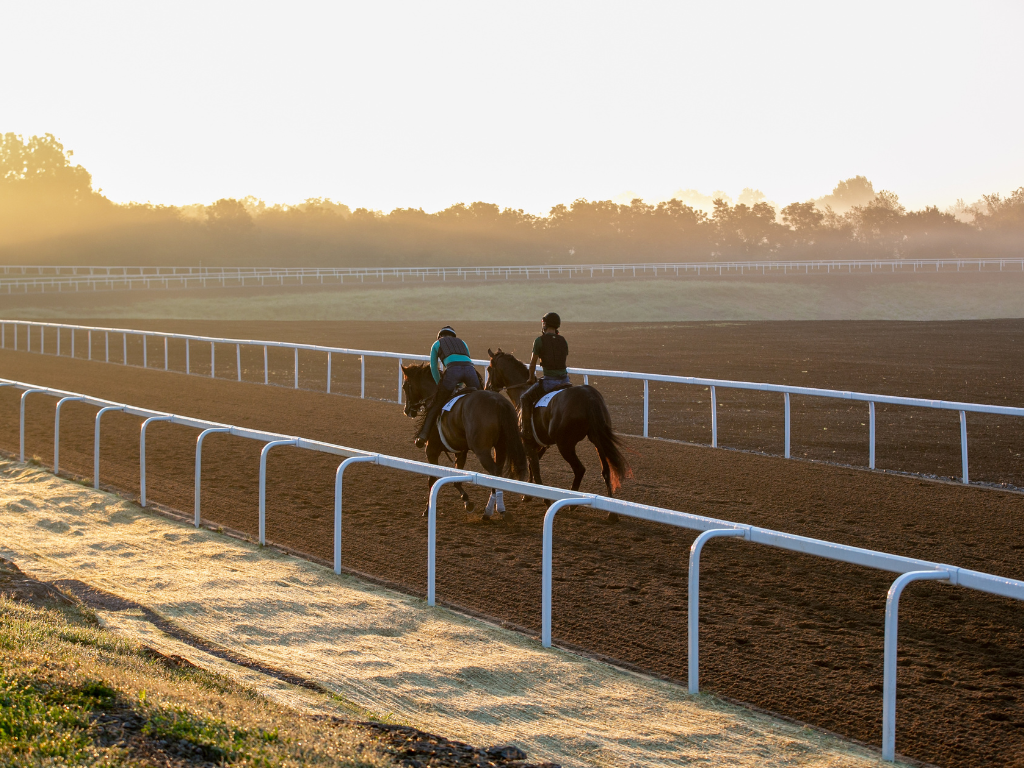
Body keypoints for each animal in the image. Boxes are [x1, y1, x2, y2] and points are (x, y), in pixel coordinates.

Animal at [399, 362, 528, 520]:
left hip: (482, 450)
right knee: (499, 473)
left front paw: (427, 510)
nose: (407, 410)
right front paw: (467, 501)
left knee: (494, 472)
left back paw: (490, 511)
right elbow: (456, 476)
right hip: (500, 447)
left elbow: (432, 478)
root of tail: (498, 402)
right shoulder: (461, 451)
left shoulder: (431, 450)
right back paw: (500, 509)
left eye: (405, 386)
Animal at [485, 350, 630, 505]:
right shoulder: (541, 444)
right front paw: (528, 495)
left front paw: (545, 500)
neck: (521, 392)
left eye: (489, 369)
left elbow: (536, 470)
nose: (487, 388)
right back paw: (610, 506)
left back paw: (571, 503)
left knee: (579, 469)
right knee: (606, 471)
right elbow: (532, 466)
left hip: (565, 444)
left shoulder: (528, 443)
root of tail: (589, 397)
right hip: (597, 438)